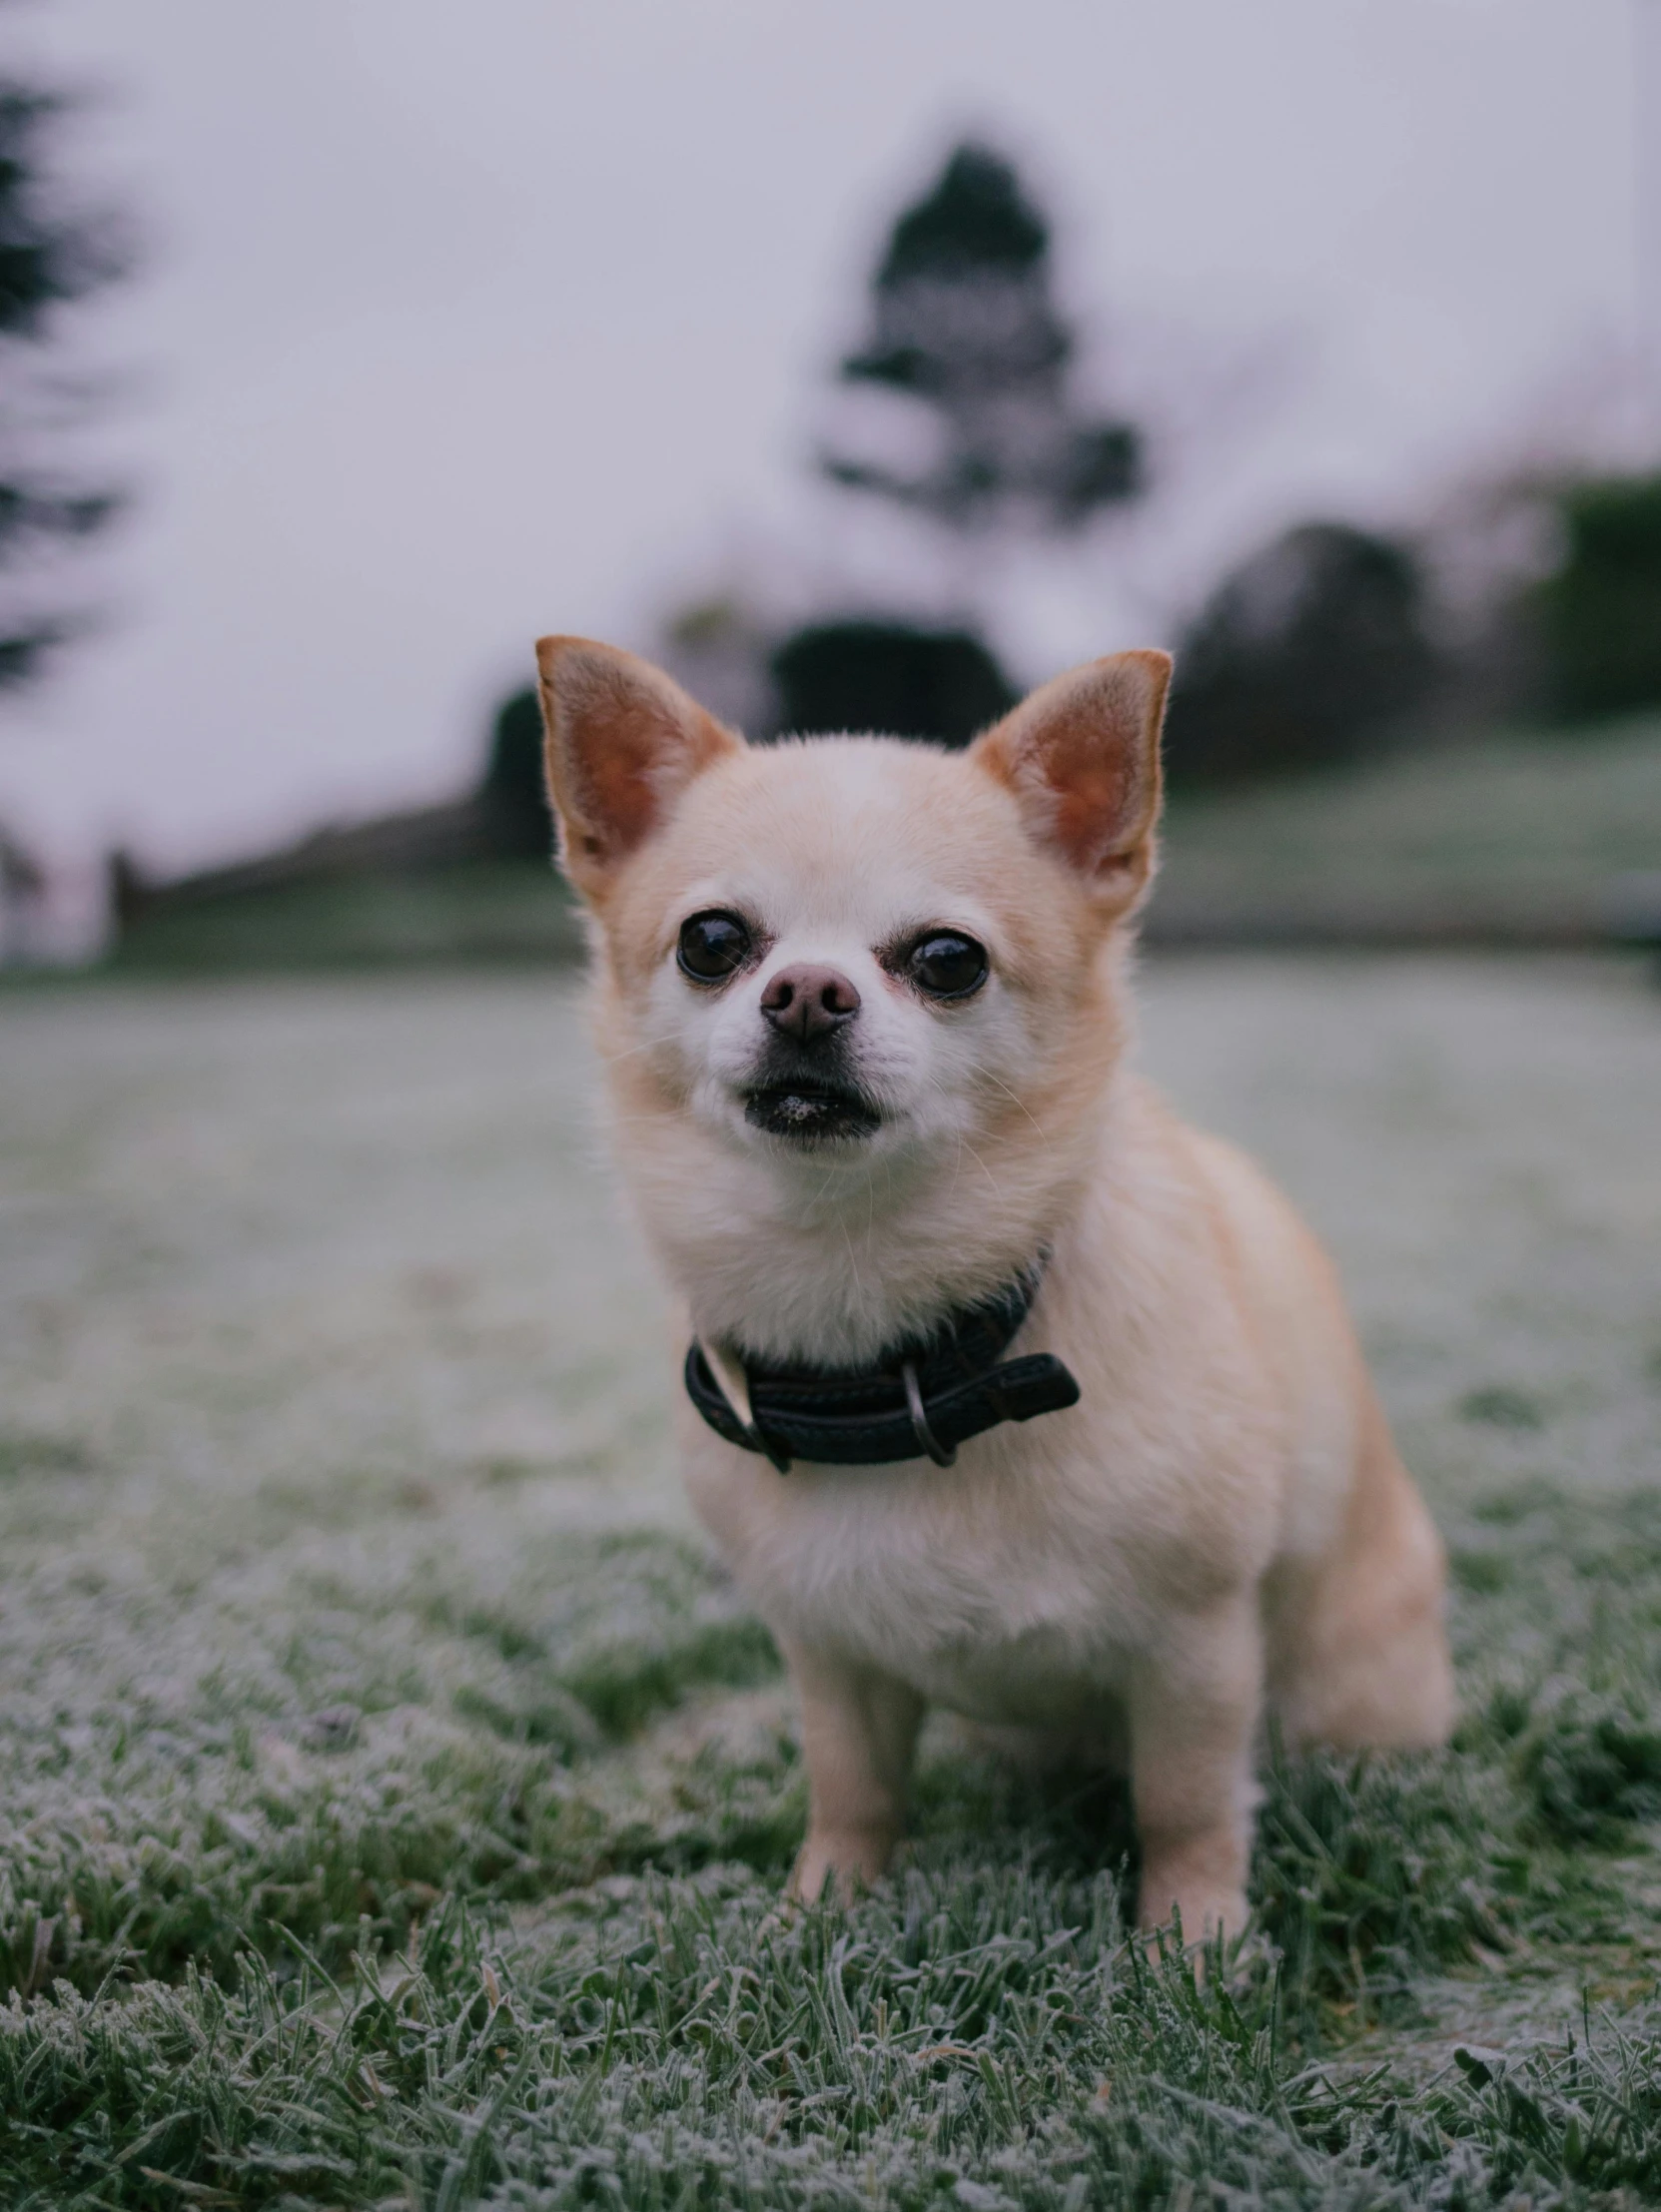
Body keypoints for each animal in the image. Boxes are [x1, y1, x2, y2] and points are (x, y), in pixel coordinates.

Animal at [539, 636, 1450, 1937]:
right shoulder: (831, 1654)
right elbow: (851, 1789)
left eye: (947, 961)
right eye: (712, 941)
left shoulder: (1196, 1648)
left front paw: (1193, 1940)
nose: (804, 991)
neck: (893, 1347)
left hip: (1347, 1685)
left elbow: (1185, 1803)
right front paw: (820, 1911)